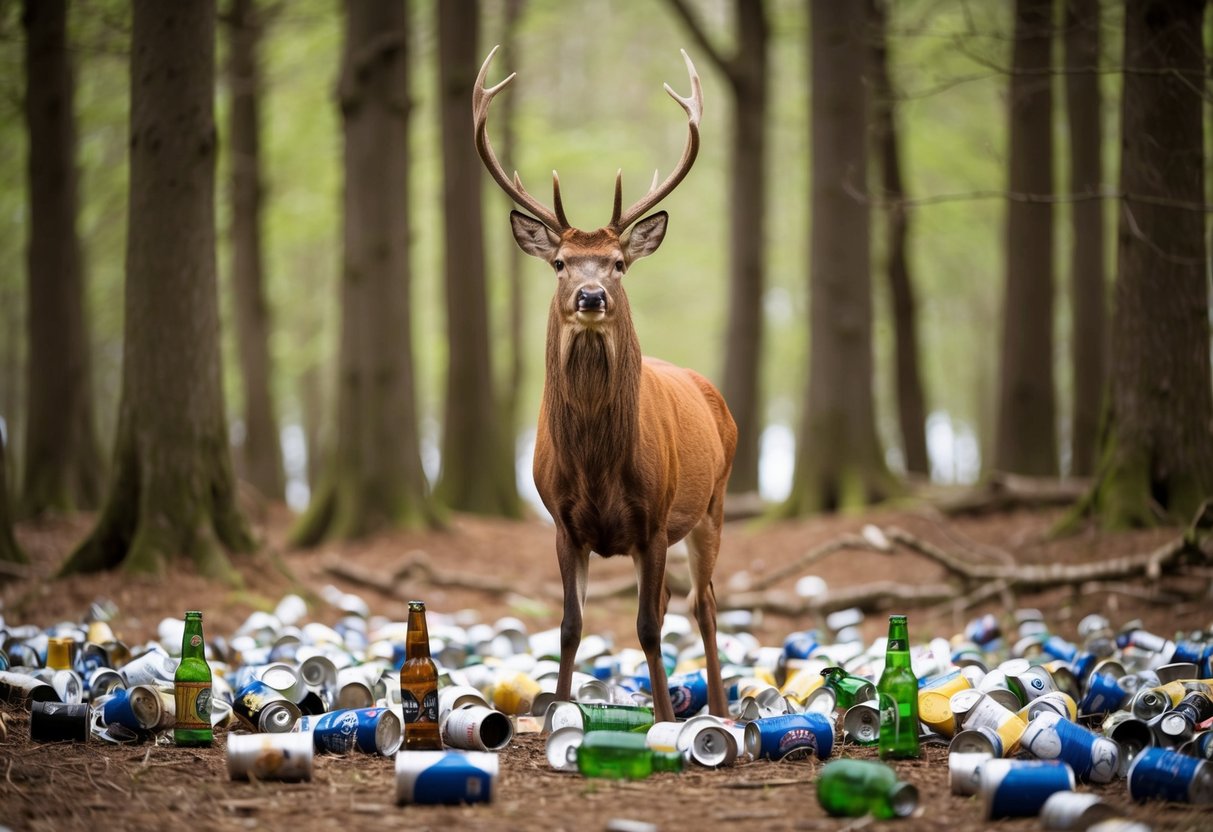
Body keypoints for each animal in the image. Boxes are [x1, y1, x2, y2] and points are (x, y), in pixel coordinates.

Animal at [473, 47, 737, 724]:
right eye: (560, 263)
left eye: (619, 263)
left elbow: (645, 626)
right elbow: (570, 624)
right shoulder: (563, 522)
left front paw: (667, 720)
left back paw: (722, 711)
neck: (597, 464)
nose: (590, 295)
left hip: (713, 501)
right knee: (678, 604)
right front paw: (561, 711)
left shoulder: (653, 519)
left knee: (703, 605)